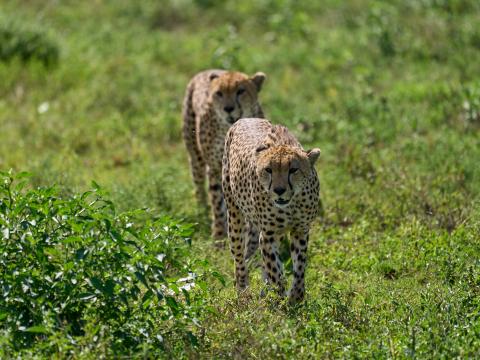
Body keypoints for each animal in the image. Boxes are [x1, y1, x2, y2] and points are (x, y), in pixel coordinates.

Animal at [183, 70, 266, 239]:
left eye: (240, 91)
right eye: (219, 93)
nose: (228, 108)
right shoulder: (215, 169)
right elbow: (217, 203)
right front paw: (219, 235)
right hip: (196, 157)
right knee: (199, 185)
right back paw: (202, 210)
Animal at [223, 118, 320, 304]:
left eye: (293, 169)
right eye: (268, 170)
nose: (279, 190)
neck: (291, 204)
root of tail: (246, 118)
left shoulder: (300, 230)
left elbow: (299, 266)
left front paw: (295, 297)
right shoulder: (268, 234)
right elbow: (275, 270)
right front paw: (280, 299)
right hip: (234, 216)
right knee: (239, 258)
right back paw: (243, 291)